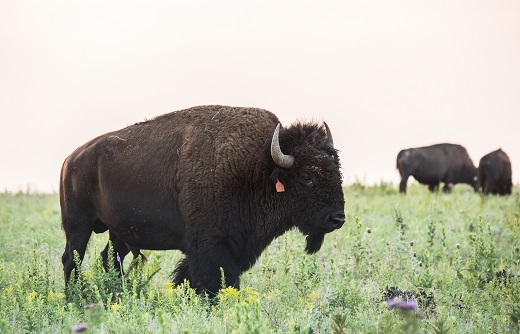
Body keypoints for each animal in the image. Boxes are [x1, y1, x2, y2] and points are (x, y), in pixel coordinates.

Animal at [61, 105, 346, 296]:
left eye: (337, 170)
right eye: (307, 176)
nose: (338, 218)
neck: (257, 167)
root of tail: (71, 158)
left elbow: (191, 277)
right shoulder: (211, 245)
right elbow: (216, 281)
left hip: (117, 233)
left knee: (109, 259)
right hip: (78, 226)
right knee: (71, 259)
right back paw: (73, 297)